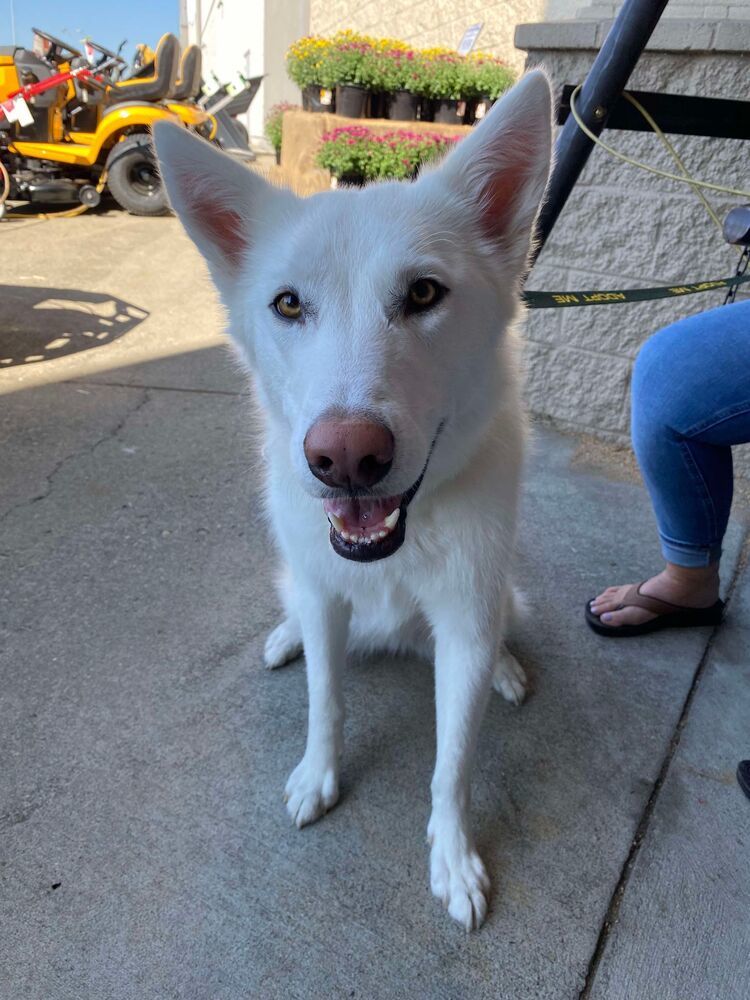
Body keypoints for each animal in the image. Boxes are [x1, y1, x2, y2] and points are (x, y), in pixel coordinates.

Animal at [153, 68, 552, 928]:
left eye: (425, 293)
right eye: (288, 304)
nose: (345, 458)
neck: (398, 545)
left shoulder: (463, 622)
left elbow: (452, 765)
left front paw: (453, 860)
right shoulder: (327, 596)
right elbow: (325, 701)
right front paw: (317, 776)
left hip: (499, 596)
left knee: (503, 626)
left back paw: (508, 669)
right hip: (297, 578)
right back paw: (285, 638)